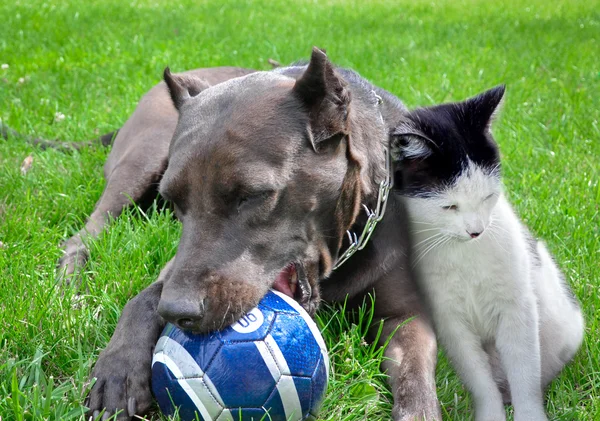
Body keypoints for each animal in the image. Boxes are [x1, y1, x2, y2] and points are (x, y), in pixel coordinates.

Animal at [25, 48, 438, 416]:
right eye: (175, 201)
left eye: (252, 196)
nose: (177, 312)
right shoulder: (178, 266)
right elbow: (143, 297)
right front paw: (120, 367)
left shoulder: (407, 317)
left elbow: (415, 379)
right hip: (142, 158)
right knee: (84, 235)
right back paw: (69, 289)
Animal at [392, 84, 584, 420]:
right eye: (449, 206)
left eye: (487, 196)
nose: (476, 230)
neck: (464, 253)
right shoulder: (450, 322)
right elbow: (478, 378)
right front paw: (491, 413)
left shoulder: (516, 310)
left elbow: (524, 374)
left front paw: (530, 415)